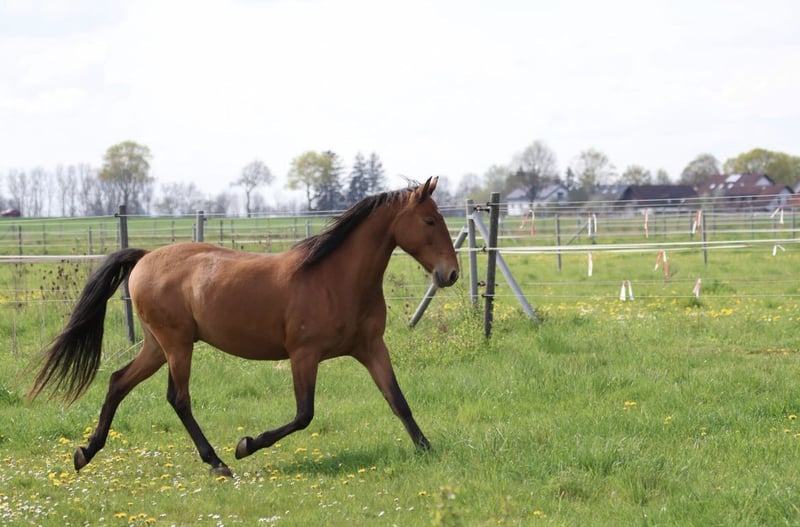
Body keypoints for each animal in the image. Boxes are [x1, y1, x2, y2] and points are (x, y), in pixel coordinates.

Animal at [29, 177, 458, 477]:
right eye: (430, 220)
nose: (450, 273)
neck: (334, 279)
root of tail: (146, 257)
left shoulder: (370, 347)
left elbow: (397, 400)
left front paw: (426, 449)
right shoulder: (304, 355)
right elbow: (304, 414)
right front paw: (246, 444)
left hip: (156, 345)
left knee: (118, 382)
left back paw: (85, 453)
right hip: (177, 344)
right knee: (178, 398)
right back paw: (219, 462)